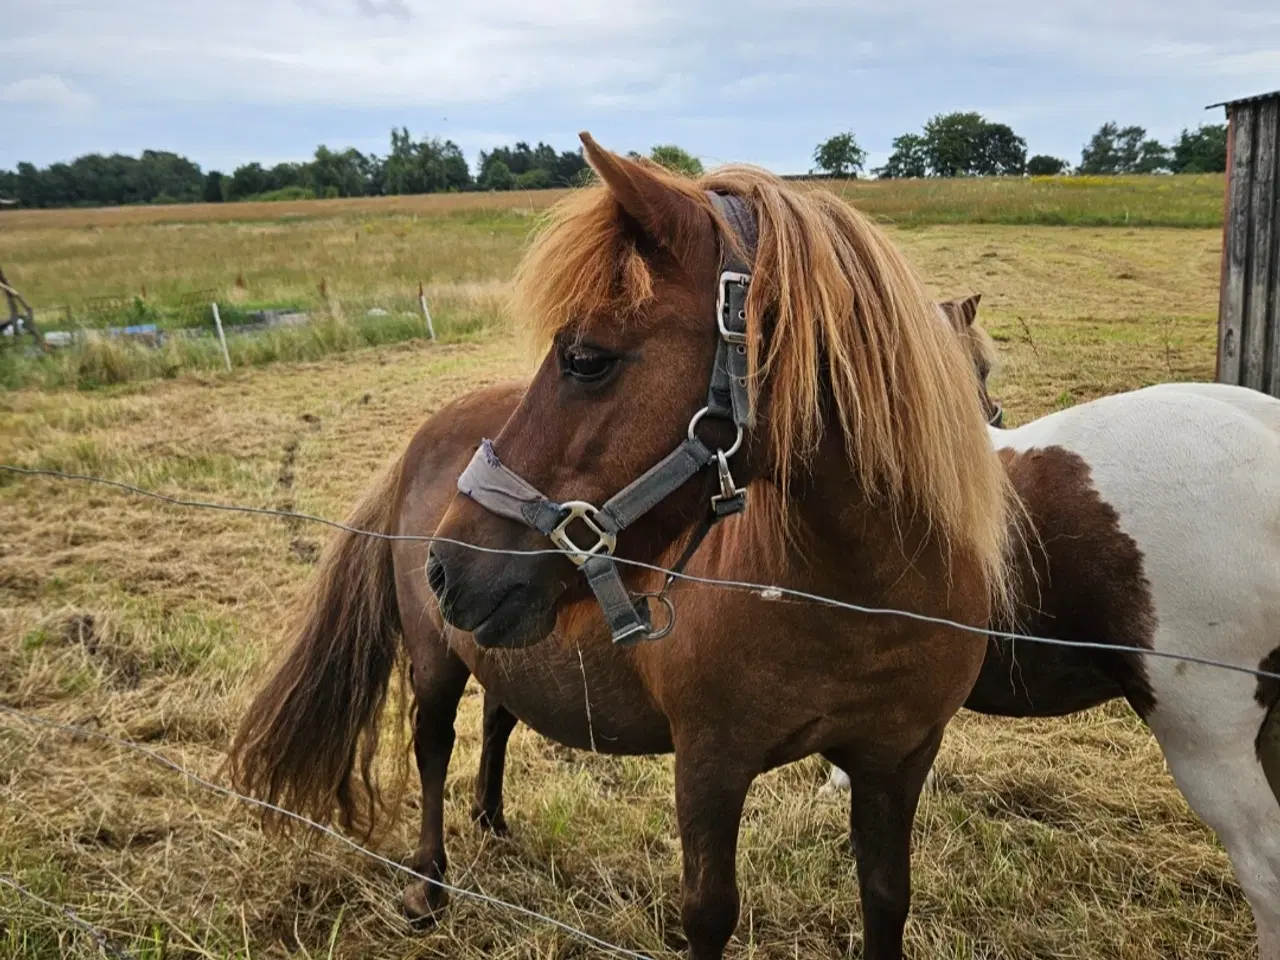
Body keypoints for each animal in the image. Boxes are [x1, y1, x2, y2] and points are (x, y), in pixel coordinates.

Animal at [222, 136, 1018, 960]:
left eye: (585, 359)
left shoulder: (897, 762)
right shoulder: (709, 764)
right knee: (433, 745)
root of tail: (426, 435)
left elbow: (886, 899)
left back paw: (492, 820)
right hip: (437, 657)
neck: (859, 598)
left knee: (499, 714)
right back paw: (428, 884)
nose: (445, 566)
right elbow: (709, 913)